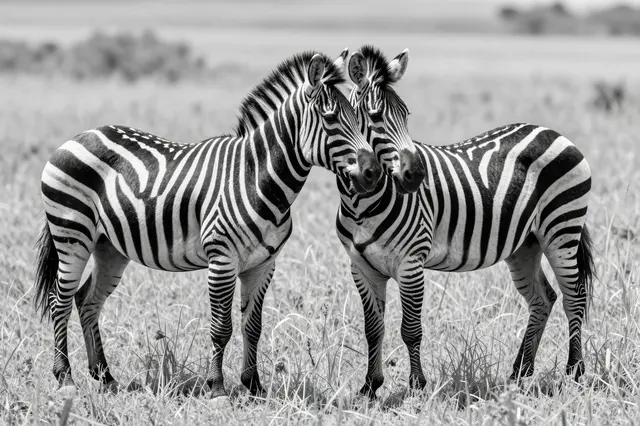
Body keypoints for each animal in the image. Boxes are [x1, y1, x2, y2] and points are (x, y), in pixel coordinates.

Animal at [33, 51, 382, 402]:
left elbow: (252, 326)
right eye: (330, 119)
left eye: (357, 116)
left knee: (87, 301)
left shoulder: (263, 264)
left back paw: (104, 376)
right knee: (59, 300)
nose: (373, 173)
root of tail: (77, 137)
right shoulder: (222, 260)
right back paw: (65, 378)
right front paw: (216, 388)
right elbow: (221, 327)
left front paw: (254, 386)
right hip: (72, 234)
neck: (255, 177)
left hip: (109, 247)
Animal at [335, 46, 595, 398]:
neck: (361, 203)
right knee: (544, 299)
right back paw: (520, 372)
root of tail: (551, 131)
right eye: (375, 117)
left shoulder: (410, 263)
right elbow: (373, 329)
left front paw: (417, 387)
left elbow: (410, 329)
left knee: (574, 297)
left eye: (407, 114)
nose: (416, 176)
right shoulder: (361, 268)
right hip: (526, 244)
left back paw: (574, 373)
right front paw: (369, 387)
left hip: (562, 228)